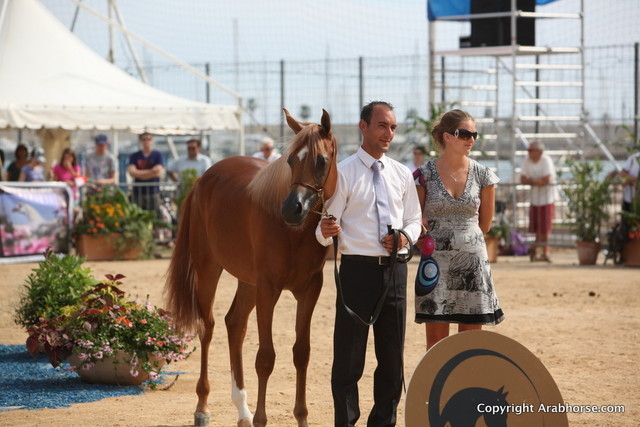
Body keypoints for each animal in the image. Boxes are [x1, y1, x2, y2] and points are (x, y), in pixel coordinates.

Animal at [165, 108, 337, 427]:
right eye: (290, 160)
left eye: (322, 160)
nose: (292, 209)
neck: (294, 233)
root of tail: (202, 180)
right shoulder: (268, 289)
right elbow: (266, 357)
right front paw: (260, 418)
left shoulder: (310, 290)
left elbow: (301, 353)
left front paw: (301, 417)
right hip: (209, 270)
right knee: (207, 327)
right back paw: (203, 407)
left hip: (247, 282)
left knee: (234, 324)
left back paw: (242, 410)